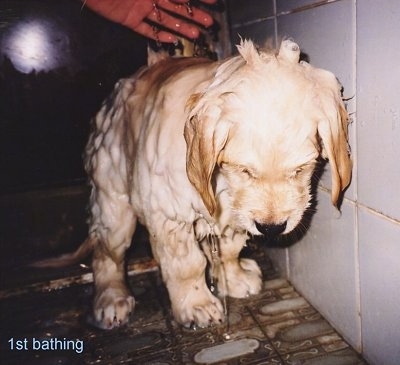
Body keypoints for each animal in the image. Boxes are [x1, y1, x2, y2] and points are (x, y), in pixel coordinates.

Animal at [44, 39, 354, 328]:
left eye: (300, 170)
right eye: (244, 170)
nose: (271, 228)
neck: (222, 179)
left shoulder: (233, 209)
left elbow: (229, 246)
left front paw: (234, 278)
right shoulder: (168, 213)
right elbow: (186, 265)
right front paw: (197, 305)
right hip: (112, 194)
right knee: (108, 252)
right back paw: (111, 299)